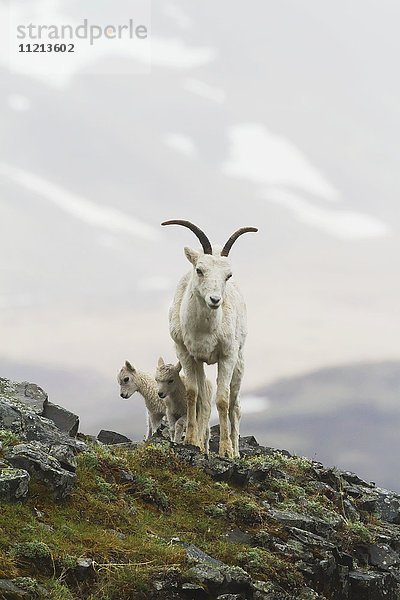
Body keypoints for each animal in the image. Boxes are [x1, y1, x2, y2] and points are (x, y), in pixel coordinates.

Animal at [162, 220, 258, 460]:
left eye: (228, 275)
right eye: (199, 270)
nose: (215, 300)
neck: (204, 330)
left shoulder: (227, 356)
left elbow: (223, 401)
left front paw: (225, 450)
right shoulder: (186, 354)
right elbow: (193, 394)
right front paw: (190, 441)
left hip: (239, 364)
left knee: (235, 406)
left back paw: (236, 451)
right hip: (201, 364)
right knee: (204, 401)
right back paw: (203, 445)